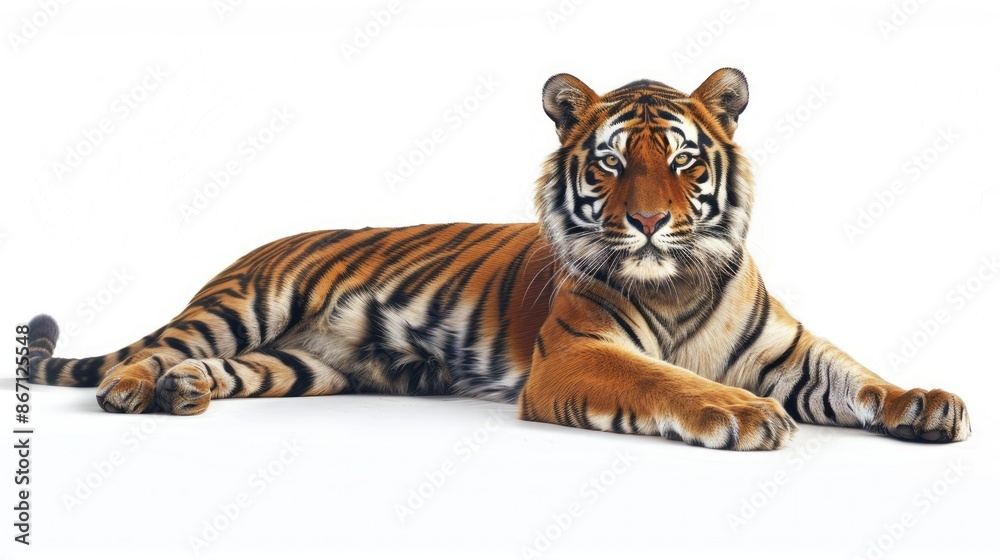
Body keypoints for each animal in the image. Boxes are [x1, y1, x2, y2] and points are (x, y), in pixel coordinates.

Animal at [27, 68, 970, 451]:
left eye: (683, 161)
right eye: (613, 163)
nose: (651, 223)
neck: (674, 284)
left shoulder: (789, 351)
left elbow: (859, 377)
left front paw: (926, 404)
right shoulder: (578, 354)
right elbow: (666, 381)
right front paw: (740, 414)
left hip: (301, 365)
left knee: (218, 367)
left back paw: (185, 392)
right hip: (245, 303)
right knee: (159, 345)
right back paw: (134, 389)